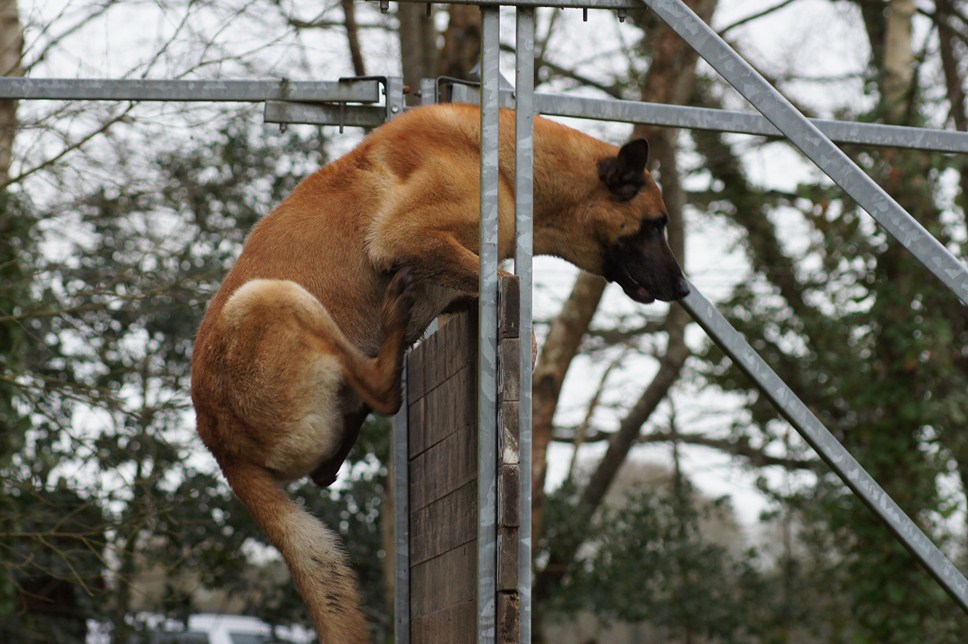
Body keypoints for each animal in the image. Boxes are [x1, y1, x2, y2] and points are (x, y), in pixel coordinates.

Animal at [189, 103, 688, 640]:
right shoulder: (407, 238)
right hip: (271, 295)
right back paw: (392, 329)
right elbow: (508, 292)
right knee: (380, 398)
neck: (507, 164)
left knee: (329, 466)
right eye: (655, 225)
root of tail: (221, 446)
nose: (683, 288)